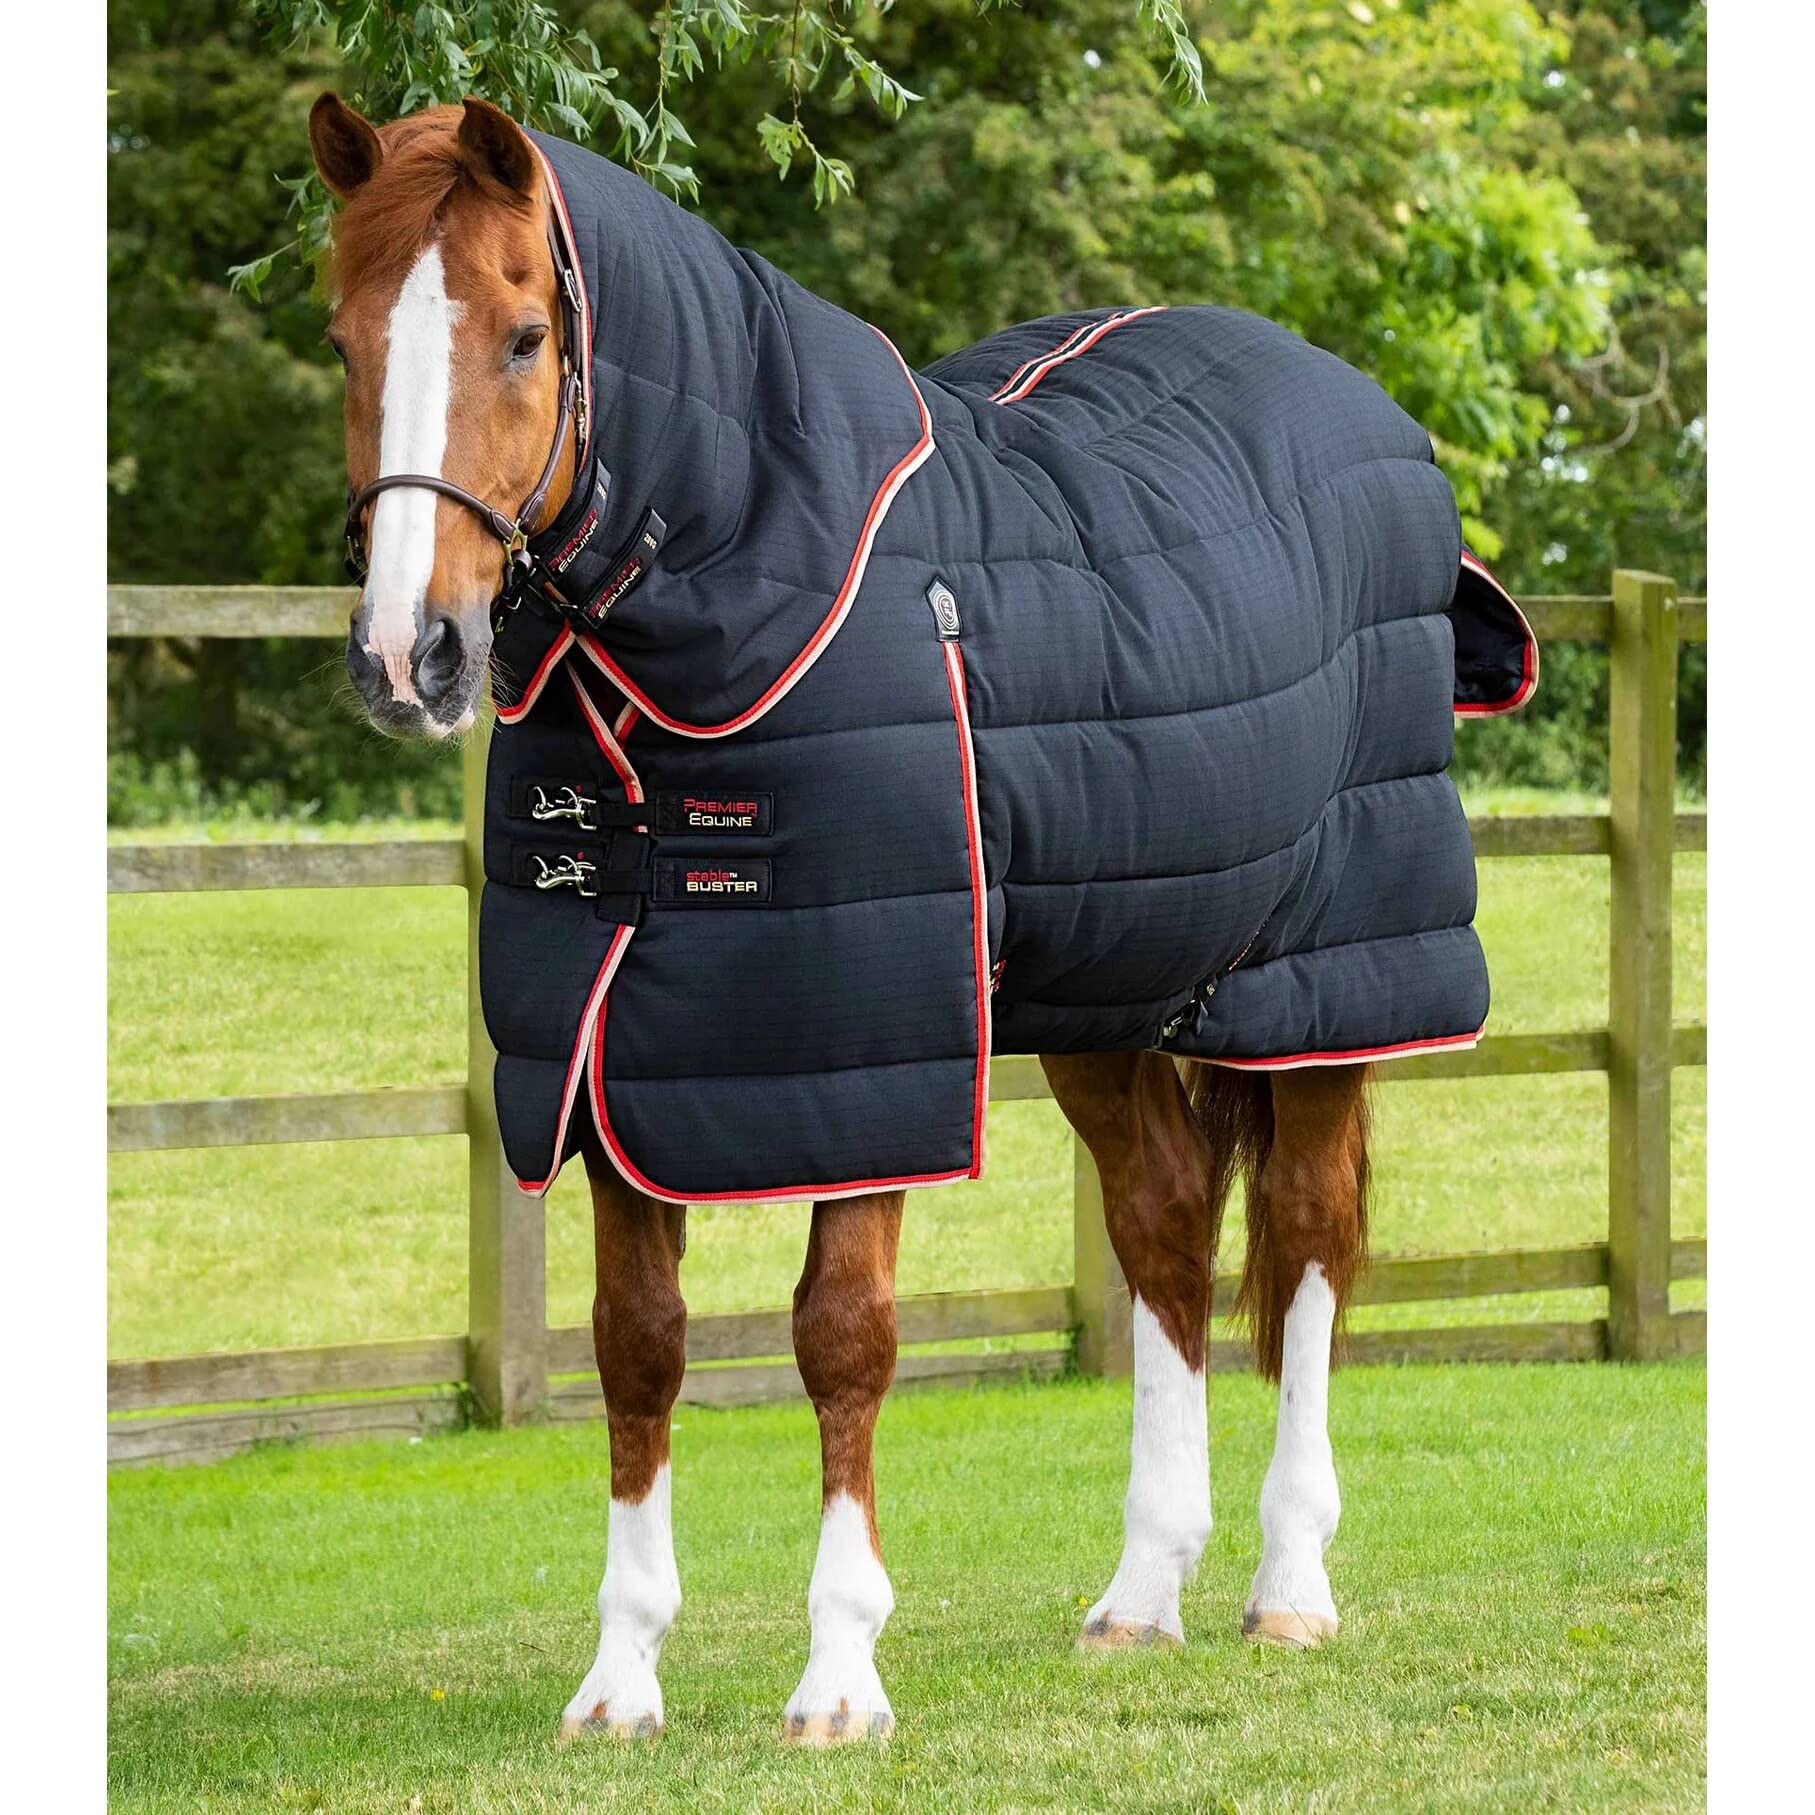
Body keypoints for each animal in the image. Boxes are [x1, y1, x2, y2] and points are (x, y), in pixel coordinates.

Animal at [310, 92, 1516, 1744]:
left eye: (521, 335)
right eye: (345, 336)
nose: (405, 655)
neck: (753, 583)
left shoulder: (869, 1063)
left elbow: (842, 1335)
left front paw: (837, 1675)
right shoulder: (616, 1063)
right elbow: (636, 1345)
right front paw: (619, 1678)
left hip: (1326, 988)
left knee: (1312, 1242)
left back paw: (1286, 1585)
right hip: (1108, 995)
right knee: (1160, 1227)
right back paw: (1141, 1592)